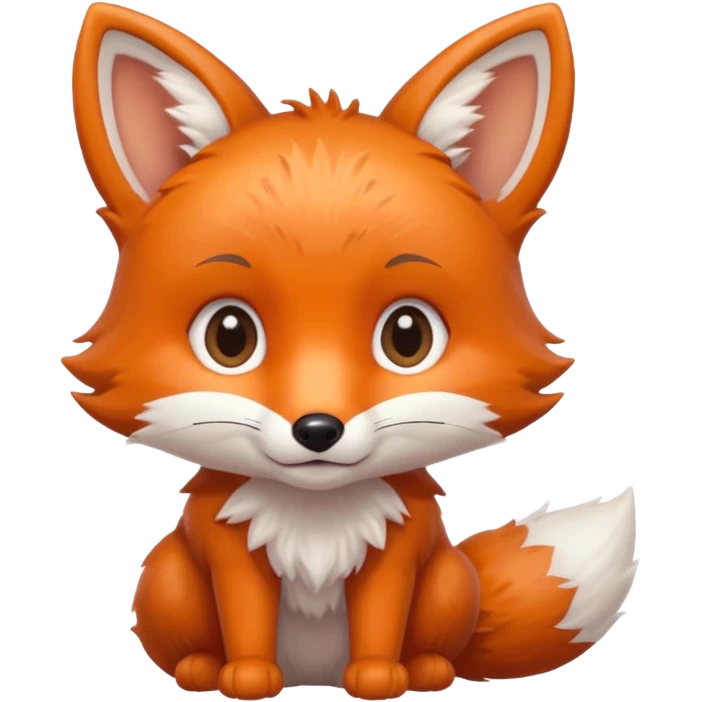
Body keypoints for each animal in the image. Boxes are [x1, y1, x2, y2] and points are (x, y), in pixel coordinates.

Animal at [65, 2, 638, 700]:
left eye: (408, 337)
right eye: (229, 337)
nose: (318, 429)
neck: (317, 517)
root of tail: (312, 675)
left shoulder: (397, 551)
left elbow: (381, 618)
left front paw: (378, 677)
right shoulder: (232, 550)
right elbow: (246, 617)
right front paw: (247, 677)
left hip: (449, 580)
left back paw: (428, 668)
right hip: (166, 575)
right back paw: (201, 668)